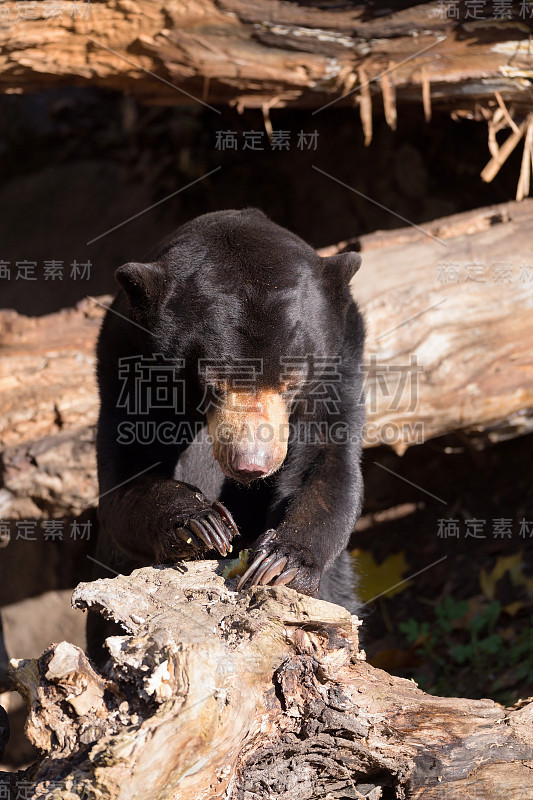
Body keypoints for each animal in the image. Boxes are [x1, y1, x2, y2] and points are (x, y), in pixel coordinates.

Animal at [88, 209, 366, 660]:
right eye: (213, 382)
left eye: (291, 380)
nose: (251, 465)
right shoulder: (123, 367)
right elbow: (123, 485)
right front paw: (202, 522)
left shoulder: (341, 362)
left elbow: (326, 465)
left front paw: (280, 562)